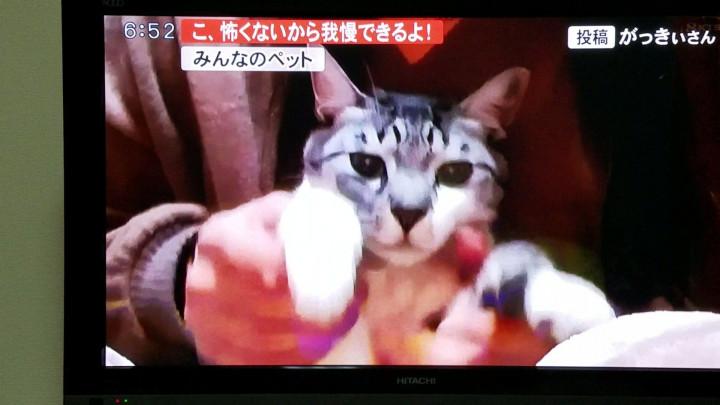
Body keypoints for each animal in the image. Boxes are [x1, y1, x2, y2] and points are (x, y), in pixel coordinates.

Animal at [278, 49, 616, 364]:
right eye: (366, 164)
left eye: (454, 172)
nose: (408, 212)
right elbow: (318, 198)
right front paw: (322, 272)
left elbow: (520, 254)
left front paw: (566, 296)